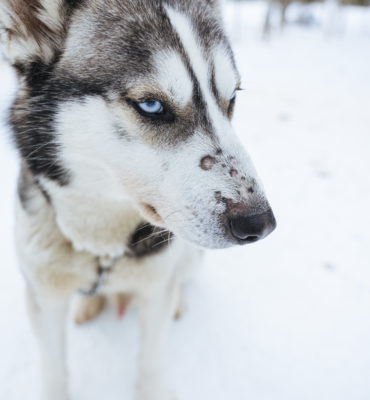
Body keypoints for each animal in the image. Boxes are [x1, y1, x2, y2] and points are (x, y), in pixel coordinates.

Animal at [1, 0, 276, 398]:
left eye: (232, 97)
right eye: (150, 105)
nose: (260, 223)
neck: (103, 248)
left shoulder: (155, 291)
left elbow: (150, 362)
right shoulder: (43, 296)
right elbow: (55, 372)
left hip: (189, 257)